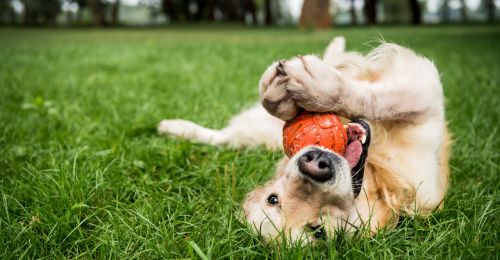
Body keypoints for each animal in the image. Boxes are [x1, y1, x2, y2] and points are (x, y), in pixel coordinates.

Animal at [156, 37, 450, 244]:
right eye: (274, 199)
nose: (315, 164)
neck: (375, 176)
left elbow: (377, 97)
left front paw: (312, 89)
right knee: (224, 137)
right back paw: (174, 128)